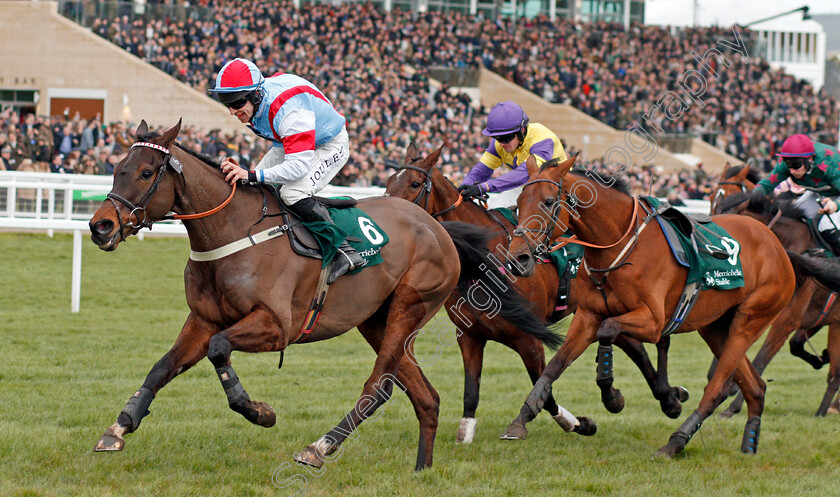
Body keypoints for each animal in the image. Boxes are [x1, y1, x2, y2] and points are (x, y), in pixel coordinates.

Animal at [88, 120, 556, 468]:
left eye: (146, 173)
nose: (100, 226)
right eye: (116, 169)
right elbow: (161, 367)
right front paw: (119, 426)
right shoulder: (203, 319)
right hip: (375, 320)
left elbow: (220, 350)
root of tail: (438, 228)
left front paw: (259, 411)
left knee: (379, 387)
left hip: (410, 305)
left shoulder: (276, 326)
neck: (232, 232)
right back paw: (421, 469)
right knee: (424, 395)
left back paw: (321, 446)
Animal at [388, 142, 688, 438]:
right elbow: (471, 392)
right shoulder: (470, 336)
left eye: (415, 183)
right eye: (389, 182)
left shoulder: (528, 339)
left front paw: (578, 423)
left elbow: (545, 388)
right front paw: (466, 432)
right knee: (634, 346)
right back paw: (667, 397)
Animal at [498, 156, 808, 458]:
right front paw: (522, 417)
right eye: (518, 202)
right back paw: (749, 444)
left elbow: (609, 331)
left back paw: (675, 443)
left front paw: (613, 396)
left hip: (750, 320)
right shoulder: (587, 315)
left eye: (549, 201)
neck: (618, 246)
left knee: (718, 388)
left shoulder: (653, 322)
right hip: (715, 326)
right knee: (756, 386)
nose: (517, 259)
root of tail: (779, 247)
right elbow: (555, 365)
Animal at [712, 165, 840, 416]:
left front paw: (732, 405)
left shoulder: (786, 320)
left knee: (835, 374)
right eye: (712, 198)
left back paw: (824, 409)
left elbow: (761, 360)